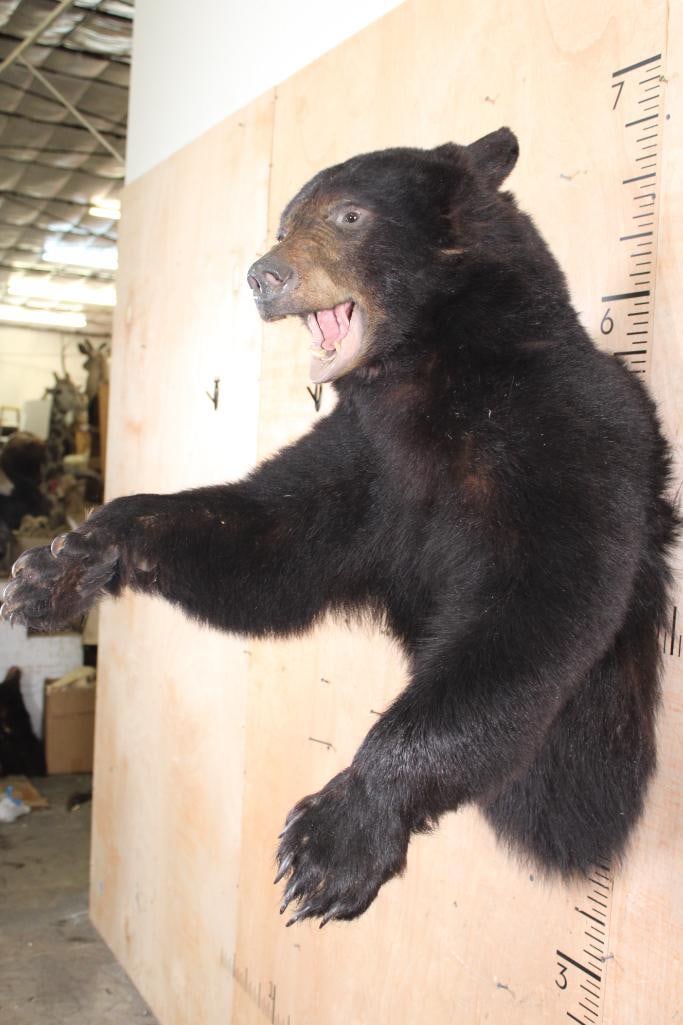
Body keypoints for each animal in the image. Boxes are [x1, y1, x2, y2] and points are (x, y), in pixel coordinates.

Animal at [1, 128, 676, 927]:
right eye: (284, 221)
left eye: (349, 215)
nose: (263, 275)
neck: (427, 382)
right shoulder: (364, 461)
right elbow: (268, 539)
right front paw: (59, 565)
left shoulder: (563, 432)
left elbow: (534, 608)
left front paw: (337, 837)